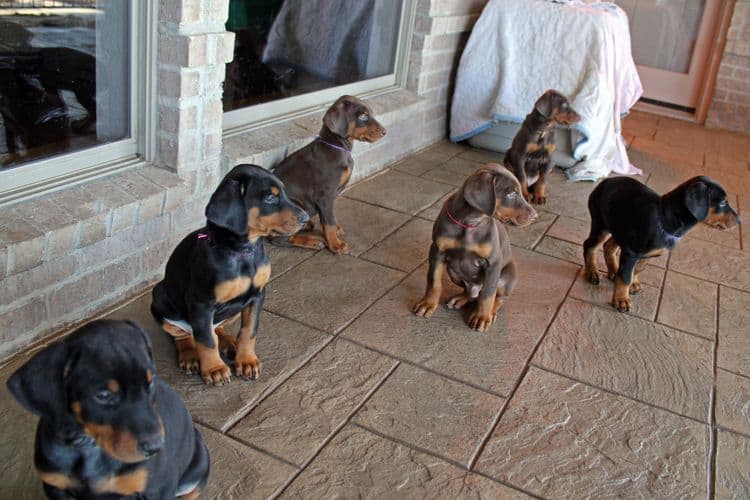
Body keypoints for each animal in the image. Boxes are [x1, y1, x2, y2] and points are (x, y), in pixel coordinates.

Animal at [6, 320, 212, 500]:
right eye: (103, 395)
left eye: (150, 382)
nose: (156, 447)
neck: (90, 447)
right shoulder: (55, 486)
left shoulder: (159, 488)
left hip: (199, 463)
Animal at [153, 164, 308, 386]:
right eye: (270, 198)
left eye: (284, 193)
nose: (306, 219)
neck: (242, 251)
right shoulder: (201, 303)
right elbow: (206, 340)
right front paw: (214, 369)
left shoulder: (257, 295)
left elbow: (249, 331)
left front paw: (247, 361)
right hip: (160, 297)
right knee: (185, 334)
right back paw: (190, 355)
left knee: (216, 328)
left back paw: (228, 342)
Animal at [270, 94, 388, 254]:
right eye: (363, 116)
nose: (385, 132)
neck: (336, 146)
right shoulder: (324, 196)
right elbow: (329, 221)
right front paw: (335, 245)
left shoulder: (329, 198)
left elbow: (328, 218)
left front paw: (336, 232)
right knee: (279, 239)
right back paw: (312, 242)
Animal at [412, 162, 540, 330]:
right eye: (512, 194)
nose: (535, 216)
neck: (471, 222)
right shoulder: (437, 252)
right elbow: (433, 281)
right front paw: (427, 304)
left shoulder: (493, 263)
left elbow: (488, 294)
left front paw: (482, 317)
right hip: (454, 272)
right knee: (471, 294)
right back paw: (460, 299)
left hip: (505, 277)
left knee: (497, 297)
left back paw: (491, 312)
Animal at [588, 176, 740, 312]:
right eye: (722, 203)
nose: (740, 221)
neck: (664, 218)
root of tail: (606, 181)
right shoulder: (631, 252)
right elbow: (625, 276)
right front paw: (621, 300)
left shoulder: (646, 254)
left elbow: (637, 270)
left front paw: (633, 283)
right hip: (601, 224)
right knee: (589, 246)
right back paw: (592, 273)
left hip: (620, 229)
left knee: (608, 246)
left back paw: (614, 270)